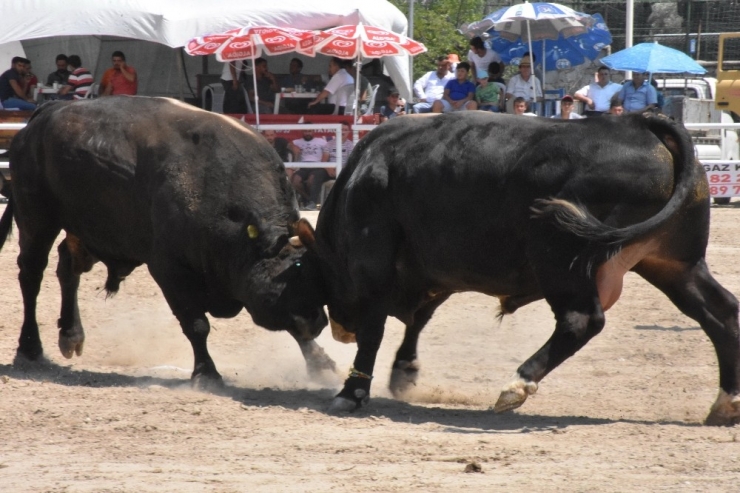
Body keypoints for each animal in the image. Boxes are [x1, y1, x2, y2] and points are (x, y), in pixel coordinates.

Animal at [0, 95, 336, 380]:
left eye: (316, 275)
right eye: (294, 274)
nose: (319, 321)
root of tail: (46, 112)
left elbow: (291, 326)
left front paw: (320, 363)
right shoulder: (168, 269)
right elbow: (196, 324)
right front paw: (206, 372)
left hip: (91, 232)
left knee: (68, 267)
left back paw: (71, 334)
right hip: (36, 220)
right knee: (31, 275)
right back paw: (30, 348)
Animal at [298, 110, 740, 422]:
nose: (339, 329)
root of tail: (640, 123)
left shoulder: (374, 263)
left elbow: (376, 329)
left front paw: (351, 392)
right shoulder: (436, 273)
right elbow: (419, 319)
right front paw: (404, 371)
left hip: (561, 259)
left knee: (581, 321)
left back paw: (518, 383)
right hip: (675, 264)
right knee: (721, 314)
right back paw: (726, 403)